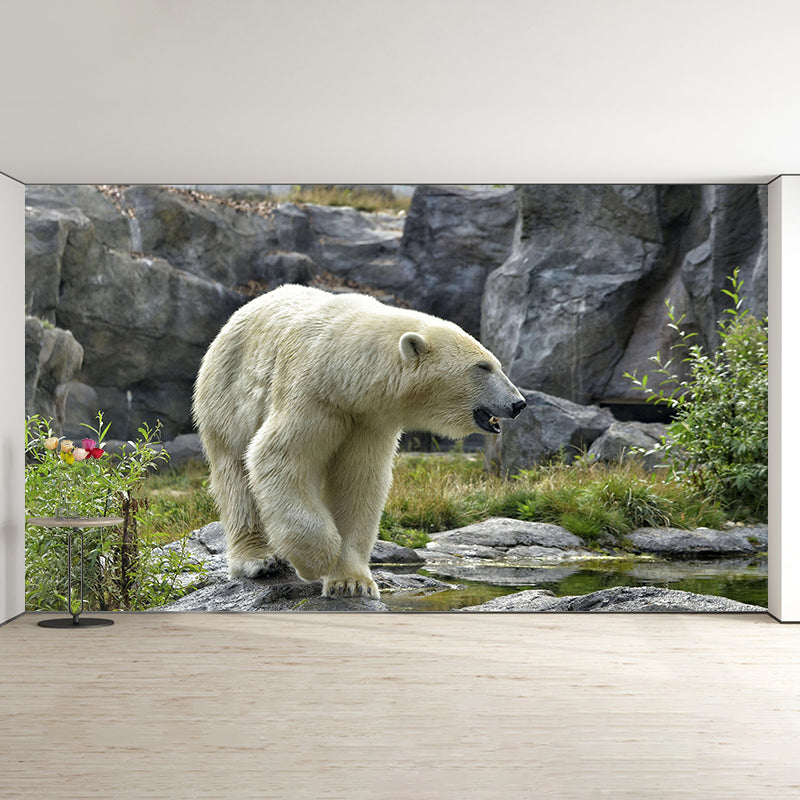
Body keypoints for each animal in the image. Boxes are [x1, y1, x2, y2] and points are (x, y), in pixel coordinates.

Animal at [193, 284, 526, 599]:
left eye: (495, 364)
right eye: (483, 367)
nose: (519, 403)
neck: (345, 370)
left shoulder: (369, 420)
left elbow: (357, 482)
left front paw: (351, 583)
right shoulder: (312, 395)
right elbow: (279, 457)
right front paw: (317, 558)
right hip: (227, 395)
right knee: (235, 476)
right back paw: (258, 560)